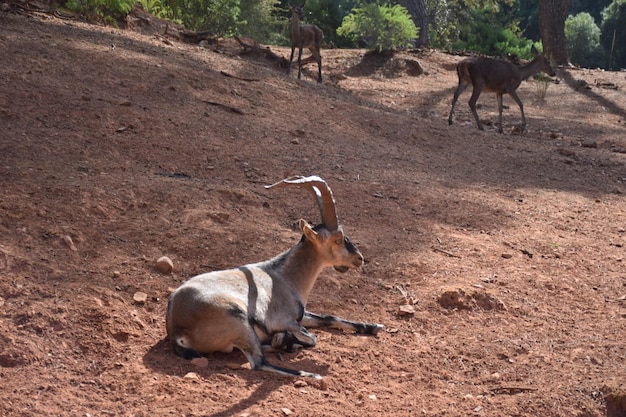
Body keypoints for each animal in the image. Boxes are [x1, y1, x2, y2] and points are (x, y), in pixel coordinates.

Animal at [165, 175, 380, 376]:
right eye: (337, 240)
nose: (359, 258)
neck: (282, 277)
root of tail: (176, 329)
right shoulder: (284, 321)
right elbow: (313, 338)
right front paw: (285, 340)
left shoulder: (300, 316)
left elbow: (330, 316)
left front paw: (373, 326)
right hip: (239, 319)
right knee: (259, 362)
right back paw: (308, 372)